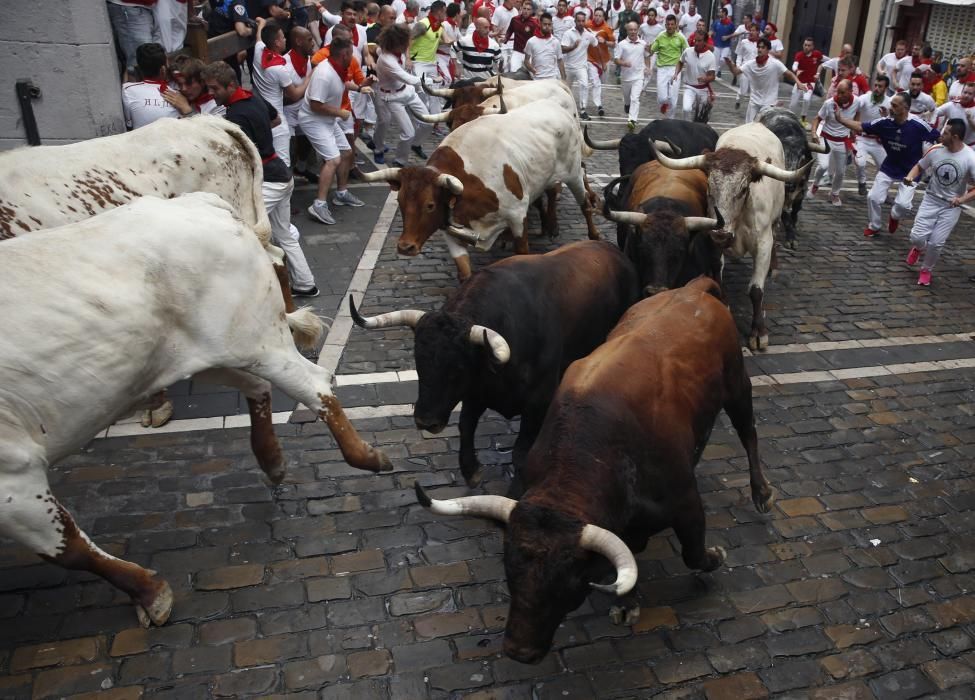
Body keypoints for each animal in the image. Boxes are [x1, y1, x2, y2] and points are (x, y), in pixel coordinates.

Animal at [0, 193, 388, 628]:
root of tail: (200, 202)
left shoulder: (13, 475)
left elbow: (69, 549)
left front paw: (151, 594)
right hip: (204, 357)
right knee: (258, 387)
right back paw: (272, 462)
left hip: (256, 342)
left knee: (314, 383)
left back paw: (366, 456)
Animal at [360, 102, 600, 282]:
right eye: (400, 202)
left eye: (430, 205)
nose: (405, 246)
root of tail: (556, 108)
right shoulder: (450, 230)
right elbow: (464, 271)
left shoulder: (517, 216)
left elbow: (522, 252)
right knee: (551, 191)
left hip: (573, 173)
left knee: (585, 204)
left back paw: (594, 235)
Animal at [652, 122, 812, 350]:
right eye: (709, 186)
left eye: (744, 188)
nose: (722, 234)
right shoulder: (712, 239)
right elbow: (717, 275)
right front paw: (724, 305)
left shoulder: (762, 244)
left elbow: (756, 290)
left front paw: (758, 332)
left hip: (774, 220)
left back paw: (774, 267)